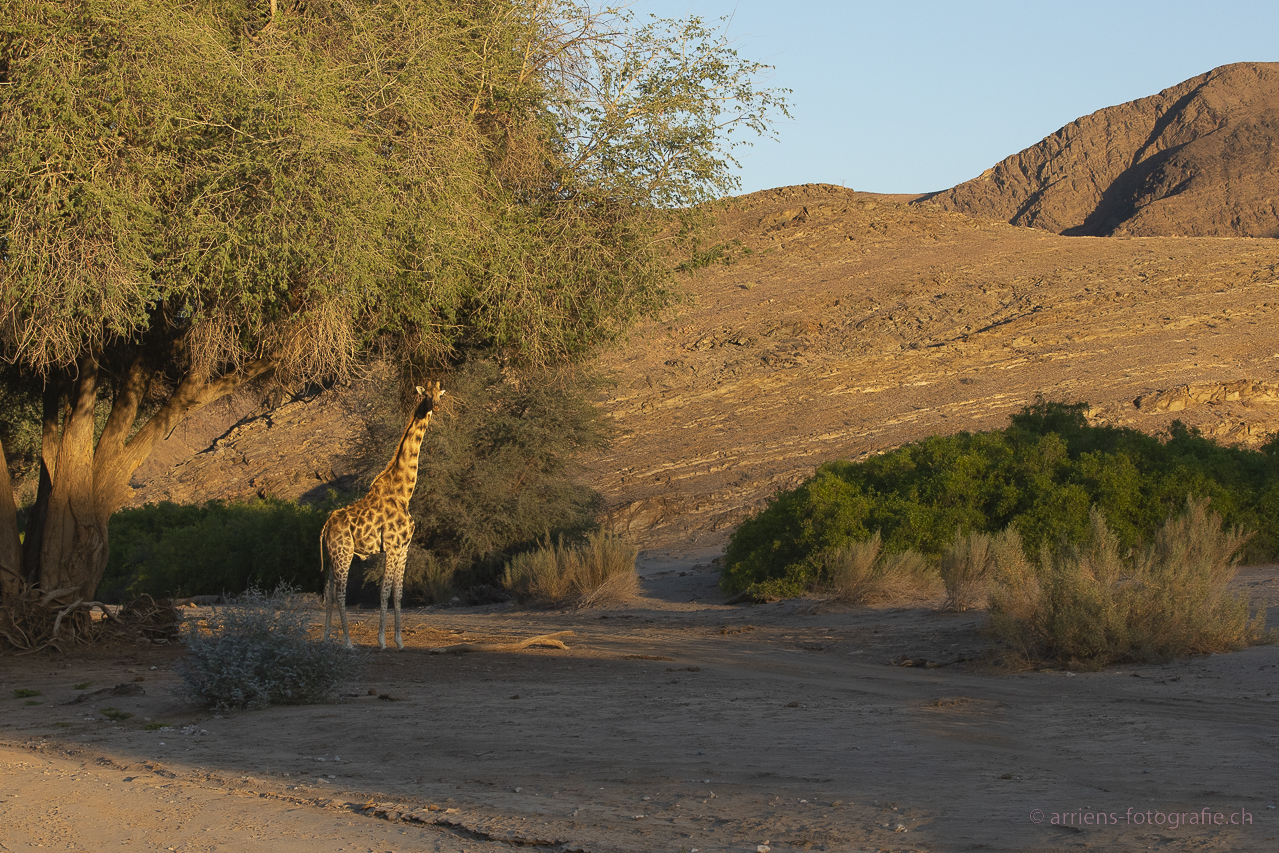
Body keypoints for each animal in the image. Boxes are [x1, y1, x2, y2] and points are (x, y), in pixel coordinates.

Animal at [319, 381, 445, 647]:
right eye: (427, 396)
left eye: (440, 395)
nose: (436, 407)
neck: (404, 492)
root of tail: (326, 526)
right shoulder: (392, 546)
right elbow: (384, 591)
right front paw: (382, 640)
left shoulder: (404, 547)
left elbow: (398, 594)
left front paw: (399, 641)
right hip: (344, 552)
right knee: (340, 592)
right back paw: (348, 642)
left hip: (333, 555)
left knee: (329, 591)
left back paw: (326, 638)